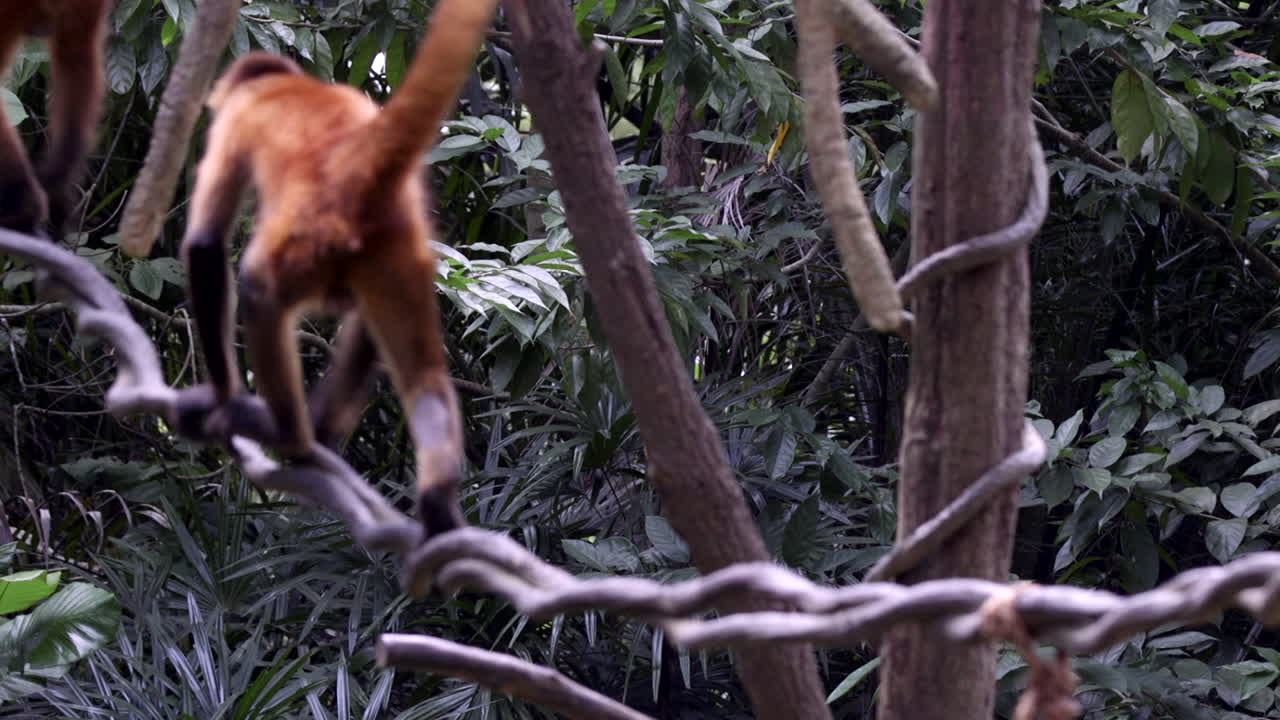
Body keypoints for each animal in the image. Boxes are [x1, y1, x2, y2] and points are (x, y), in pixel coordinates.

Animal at [177, 0, 499, 539]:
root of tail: (359, 165)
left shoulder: (237, 120)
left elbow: (204, 245)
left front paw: (222, 398)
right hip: (394, 254)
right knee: (424, 375)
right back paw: (428, 499)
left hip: (309, 245)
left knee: (258, 290)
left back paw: (289, 434)